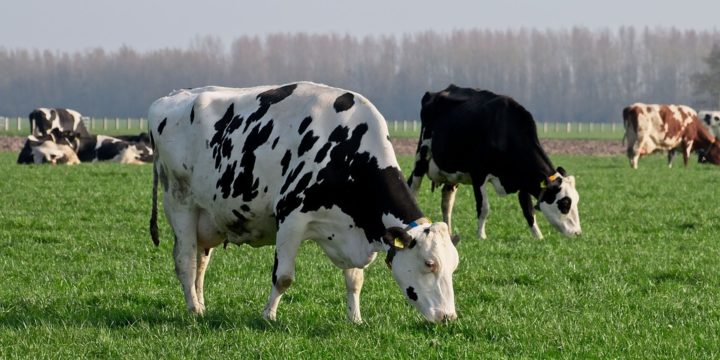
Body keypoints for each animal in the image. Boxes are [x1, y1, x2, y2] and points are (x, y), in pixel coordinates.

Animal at [148, 81, 458, 324]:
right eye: (430, 263)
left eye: (454, 266)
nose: (449, 317)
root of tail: (169, 98)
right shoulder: (291, 217)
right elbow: (283, 276)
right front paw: (268, 316)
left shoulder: (354, 224)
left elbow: (355, 280)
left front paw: (355, 318)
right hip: (180, 203)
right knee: (186, 260)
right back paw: (193, 308)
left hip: (208, 216)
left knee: (201, 262)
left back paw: (201, 305)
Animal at [408, 85, 584, 239]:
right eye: (564, 204)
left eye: (576, 201)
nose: (577, 233)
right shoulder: (478, 173)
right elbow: (484, 207)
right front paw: (481, 236)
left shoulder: (523, 179)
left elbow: (528, 209)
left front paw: (538, 236)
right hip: (422, 155)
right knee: (413, 188)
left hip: (452, 172)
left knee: (447, 200)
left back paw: (449, 231)